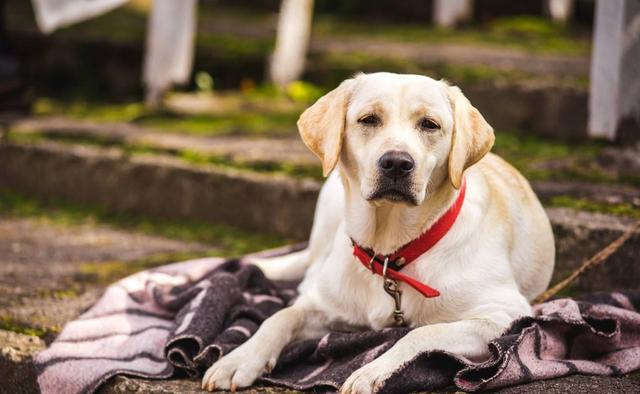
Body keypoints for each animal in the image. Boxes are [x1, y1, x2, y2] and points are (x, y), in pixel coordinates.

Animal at [201, 72, 556, 392]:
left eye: (430, 124)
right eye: (369, 119)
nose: (397, 163)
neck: (391, 252)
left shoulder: (502, 315)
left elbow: (420, 333)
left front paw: (372, 372)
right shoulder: (325, 306)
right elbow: (280, 317)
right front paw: (238, 360)